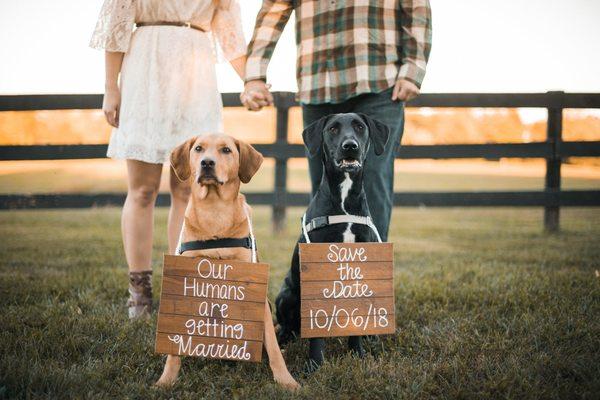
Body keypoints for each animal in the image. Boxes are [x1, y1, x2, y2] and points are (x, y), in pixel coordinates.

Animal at [156, 133, 300, 390]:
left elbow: (273, 347)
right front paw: (167, 379)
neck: (215, 210)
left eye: (226, 150)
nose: (207, 163)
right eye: (198, 149)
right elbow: (174, 348)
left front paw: (286, 381)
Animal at [276, 111, 390, 368]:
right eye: (333, 129)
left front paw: (358, 355)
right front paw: (315, 365)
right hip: (287, 295)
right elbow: (316, 333)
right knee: (288, 327)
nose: (350, 146)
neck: (345, 202)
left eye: (359, 127)